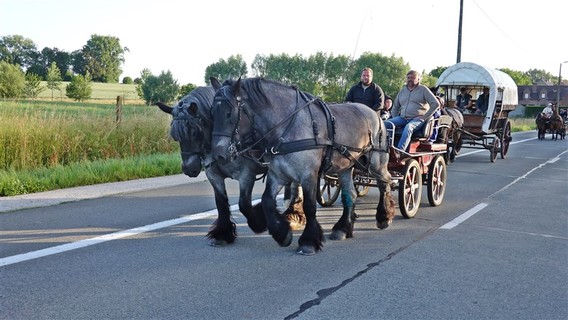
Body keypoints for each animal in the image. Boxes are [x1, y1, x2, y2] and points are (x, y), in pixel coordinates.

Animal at [155, 81, 306, 246]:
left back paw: (294, 215)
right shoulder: (214, 175)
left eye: (194, 132)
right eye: (175, 136)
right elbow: (221, 203)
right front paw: (223, 234)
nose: (189, 169)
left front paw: (260, 223)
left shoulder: (246, 175)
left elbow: (244, 204)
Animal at [210, 77, 394, 255]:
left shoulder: (308, 175)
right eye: (212, 112)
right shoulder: (277, 174)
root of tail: (374, 115)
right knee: (350, 194)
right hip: (345, 167)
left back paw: (384, 216)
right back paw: (342, 228)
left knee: (386, 182)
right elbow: (267, 200)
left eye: (229, 113)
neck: (287, 127)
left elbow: (309, 206)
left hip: (377, 163)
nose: (218, 155)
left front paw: (308, 241)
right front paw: (281, 233)